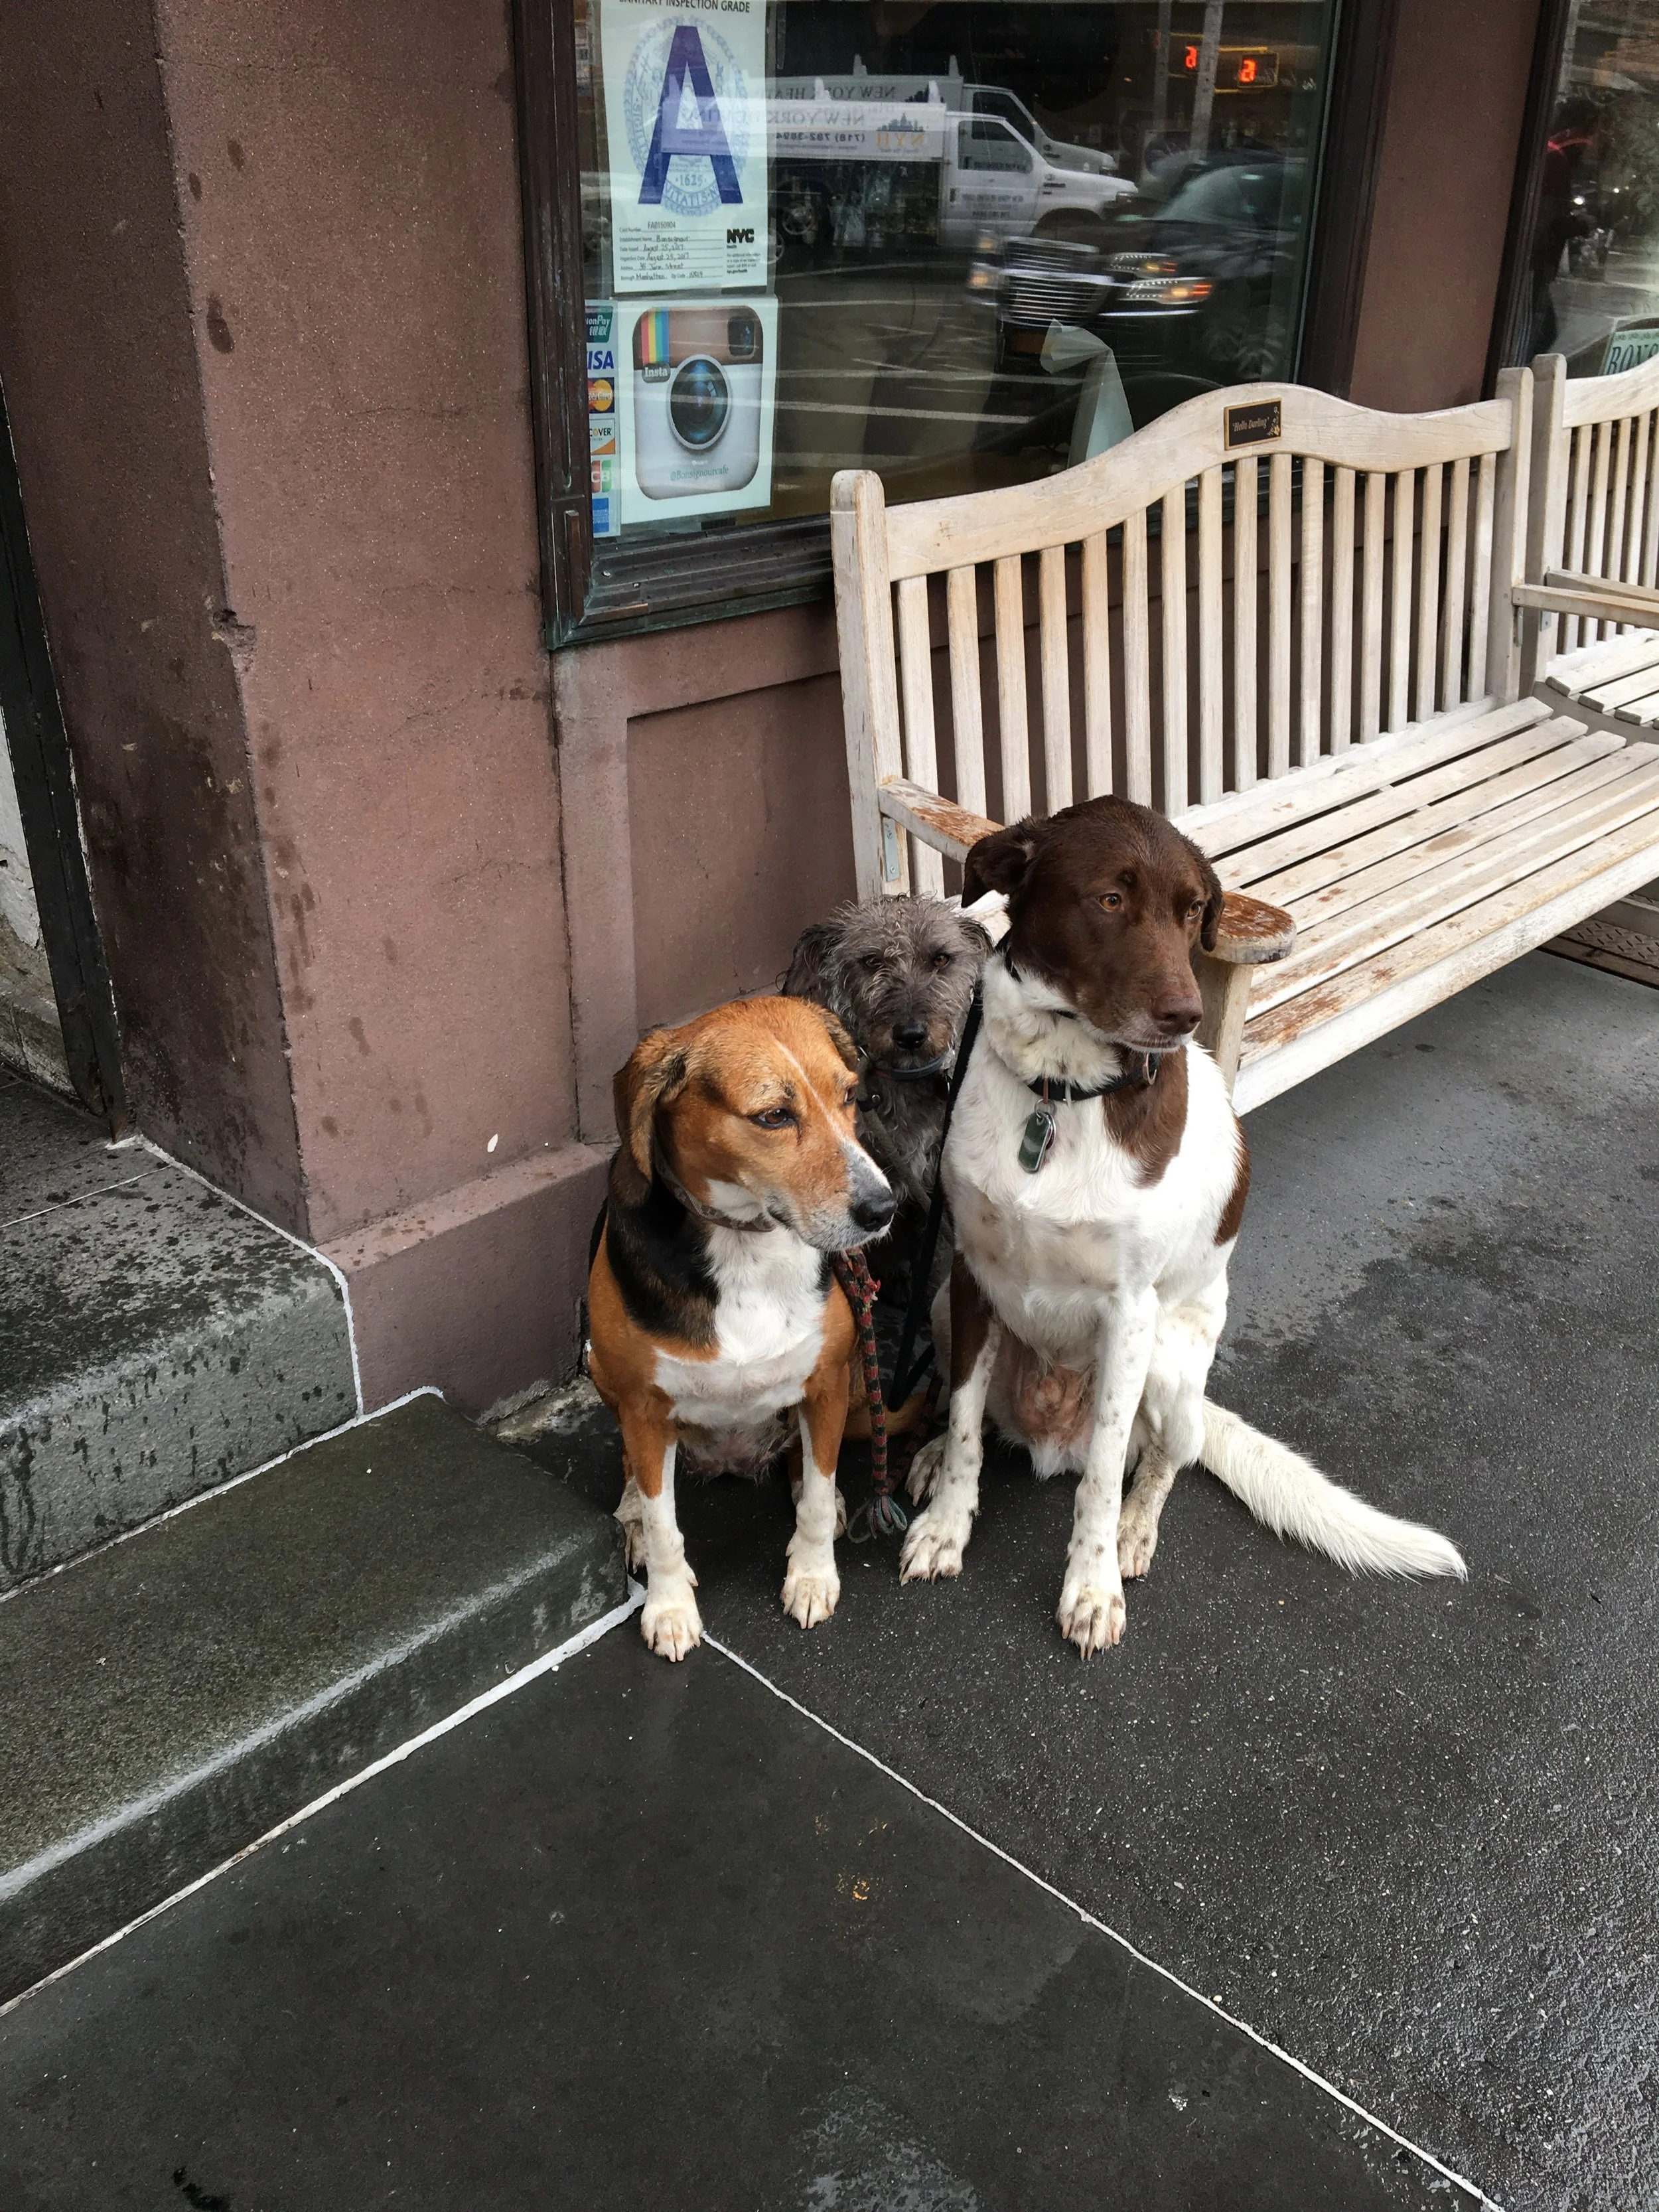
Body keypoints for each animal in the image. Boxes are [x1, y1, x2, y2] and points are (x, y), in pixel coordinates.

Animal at [588, 1004, 898, 1663]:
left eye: (850, 1096)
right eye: (774, 1115)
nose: (884, 1210)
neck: (744, 1239)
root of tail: (732, 1461)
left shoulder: (827, 1381)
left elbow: (814, 1497)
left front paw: (812, 1575)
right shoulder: (644, 1407)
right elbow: (664, 1525)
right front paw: (669, 1607)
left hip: (858, 1374)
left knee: (807, 1461)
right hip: (600, 1367)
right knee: (632, 1469)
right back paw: (630, 1513)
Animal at [902, 787, 1460, 1655]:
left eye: (1193, 910)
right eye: (1108, 900)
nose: (1184, 1014)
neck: (1059, 1092)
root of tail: (1048, 1437)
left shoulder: (1128, 1313)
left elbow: (1103, 1478)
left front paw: (1090, 1585)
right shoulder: (968, 1275)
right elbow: (963, 1420)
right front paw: (945, 1526)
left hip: (1169, 1363)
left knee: (1167, 1459)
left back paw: (1135, 1530)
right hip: (938, 1307)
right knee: (978, 1413)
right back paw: (928, 1455)